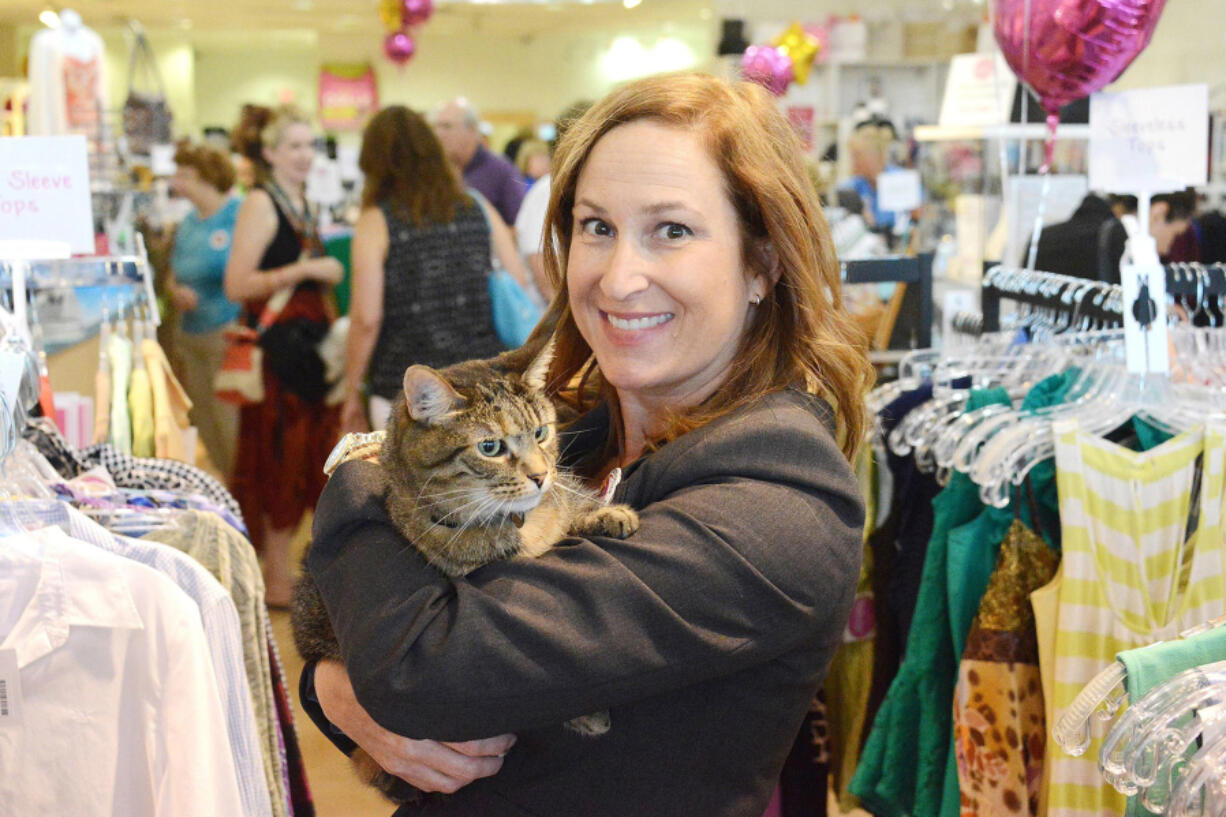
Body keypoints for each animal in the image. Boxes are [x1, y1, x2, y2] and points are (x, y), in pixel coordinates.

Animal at [290, 336, 637, 799]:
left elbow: (572, 504)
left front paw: (606, 514)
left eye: (541, 433)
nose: (540, 476)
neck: (519, 522)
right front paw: (587, 713)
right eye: (490, 448)